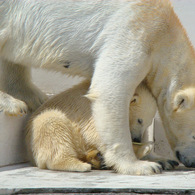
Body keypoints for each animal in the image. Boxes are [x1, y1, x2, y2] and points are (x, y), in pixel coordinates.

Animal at [25, 81, 157, 171]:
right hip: (43, 127)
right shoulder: (93, 110)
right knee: (53, 125)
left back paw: (96, 158)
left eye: (148, 123)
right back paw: (80, 165)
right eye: (140, 120)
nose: (137, 139)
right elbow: (97, 133)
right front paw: (143, 149)